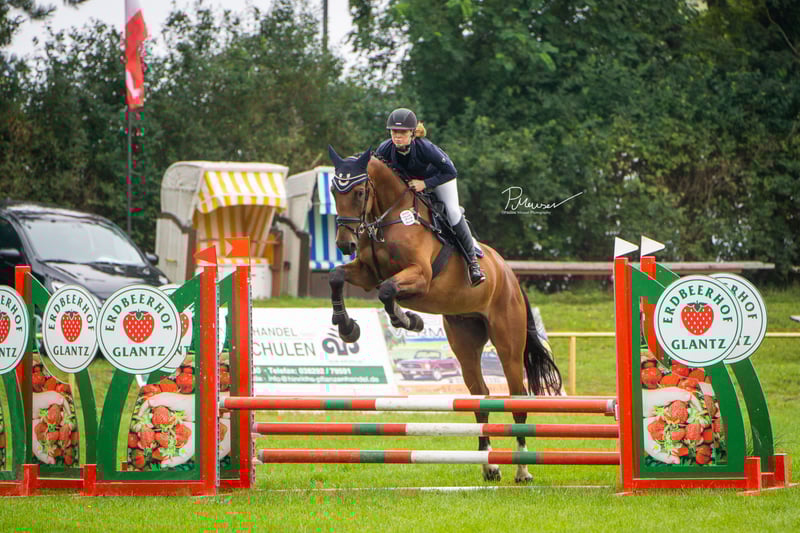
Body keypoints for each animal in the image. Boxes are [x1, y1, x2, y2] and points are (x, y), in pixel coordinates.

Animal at [326, 146, 562, 482]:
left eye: (359, 192)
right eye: (335, 191)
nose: (345, 244)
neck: (388, 217)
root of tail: (510, 275)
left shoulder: (420, 277)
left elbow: (388, 290)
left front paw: (408, 320)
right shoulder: (367, 273)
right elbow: (338, 277)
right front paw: (347, 328)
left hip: (508, 343)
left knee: (516, 399)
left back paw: (522, 468)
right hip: (465, 339)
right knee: (481, 397)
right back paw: (489, 465)